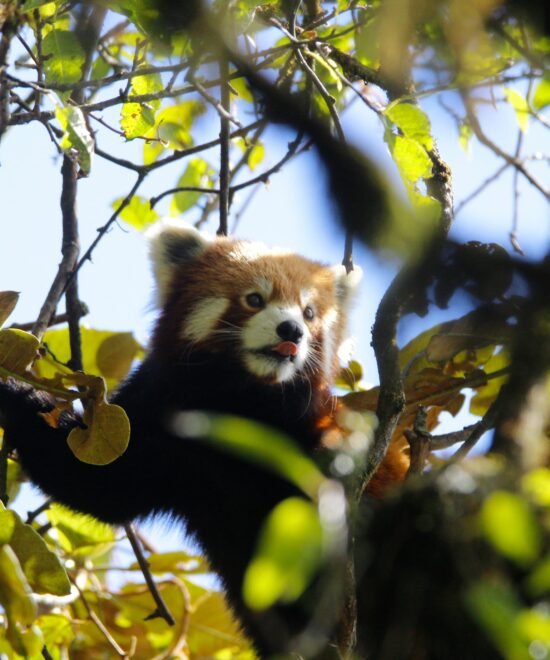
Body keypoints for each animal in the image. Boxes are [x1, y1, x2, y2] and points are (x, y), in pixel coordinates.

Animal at [0, 223, 410, 656]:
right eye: (254, 299)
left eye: (309, 312)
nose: (292, 330)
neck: (238, 401)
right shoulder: (160, 420)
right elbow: (97, 482)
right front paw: (17, 392)